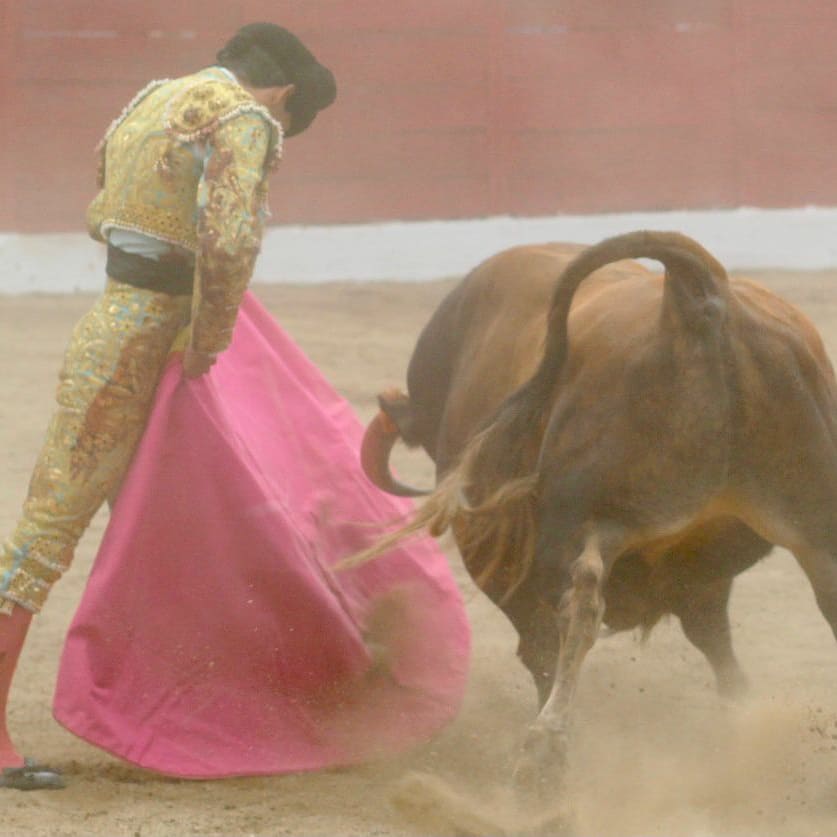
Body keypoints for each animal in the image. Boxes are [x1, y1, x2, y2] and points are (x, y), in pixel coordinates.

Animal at [356, 230, 837, 793]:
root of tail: (697, 299)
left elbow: (542, 650)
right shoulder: (701, 580)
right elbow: (714, 641)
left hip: (585, 514)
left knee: (581, 603)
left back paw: (543, 754)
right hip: (813, 526)